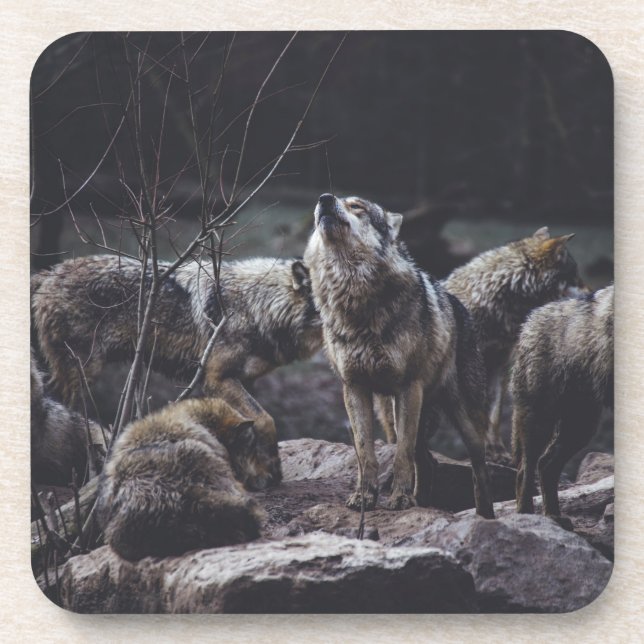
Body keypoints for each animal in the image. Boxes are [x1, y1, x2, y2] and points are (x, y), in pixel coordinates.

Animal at [304, 193, 495, 517]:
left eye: (357, 206)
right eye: (331, 199)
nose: (324, 199)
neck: (355, 299)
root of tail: (459, 306)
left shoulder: (408, 387)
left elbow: (401, 455)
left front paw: (401, 499)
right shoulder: (354, 388)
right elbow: (365, 453)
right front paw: (364, 497)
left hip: (462, 419)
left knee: (478, 468)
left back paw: (485, 516)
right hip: (396, 413)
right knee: (428, 462)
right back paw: (423, 502)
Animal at [512, 284, 613, 522]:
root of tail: (529, 320)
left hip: (580, 426)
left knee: (545, 465)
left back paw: (554, 517)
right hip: (542, 420)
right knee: (525, 469)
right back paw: (527, 516)